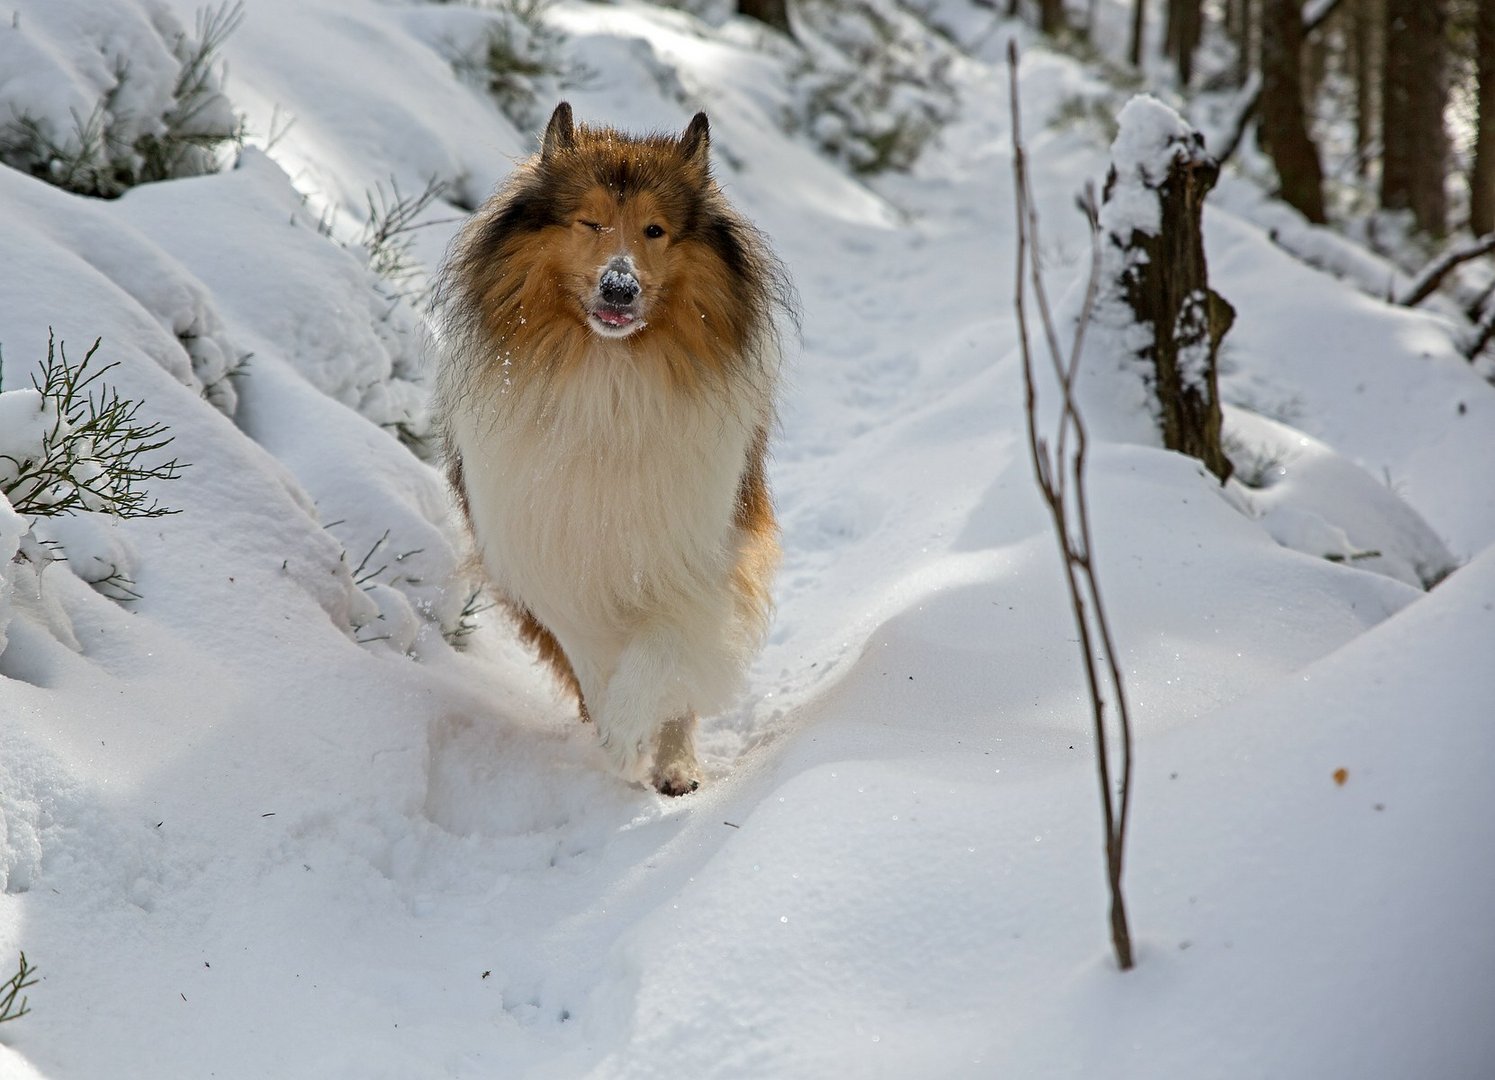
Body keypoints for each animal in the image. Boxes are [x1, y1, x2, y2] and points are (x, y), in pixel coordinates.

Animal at [433, 103, 795, 789]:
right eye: (590, 221)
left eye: (655, 230)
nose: (619, 288)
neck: (609, 380)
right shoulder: (556, 565)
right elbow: (594, 664)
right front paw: (617, 739)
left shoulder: (692, 555)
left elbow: (662, 652)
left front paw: (633, 736)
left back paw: (675, 767)